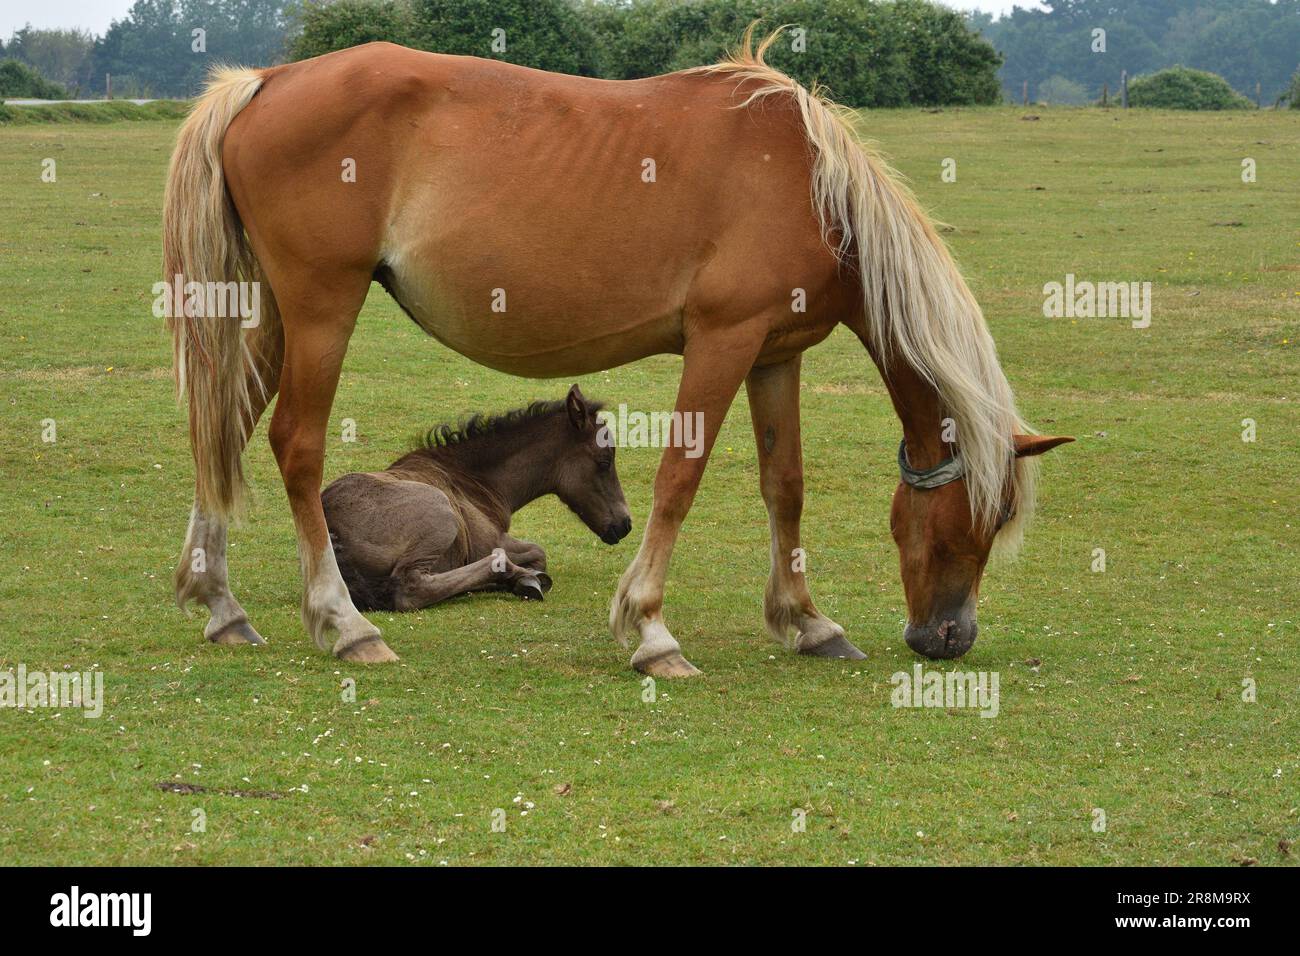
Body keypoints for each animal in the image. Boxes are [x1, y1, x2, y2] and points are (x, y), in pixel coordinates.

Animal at [321, 385, 631, 611]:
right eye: (604, 461)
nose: (625, 524)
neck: (472, 481)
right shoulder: (491, 540)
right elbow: (538, 552)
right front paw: (525, 576)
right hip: (441, 514)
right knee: (411, 588)